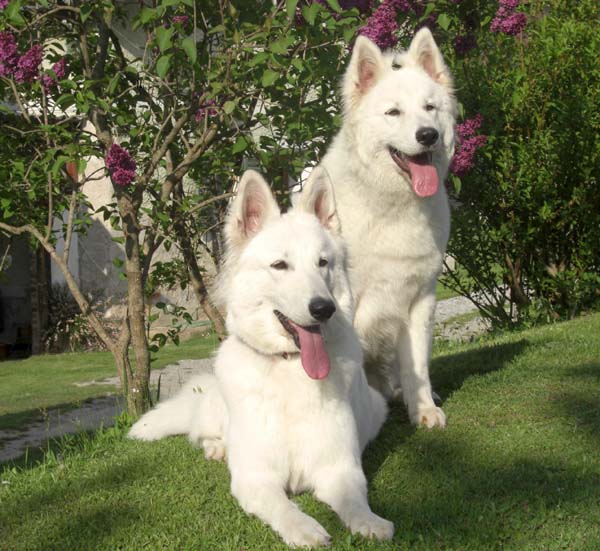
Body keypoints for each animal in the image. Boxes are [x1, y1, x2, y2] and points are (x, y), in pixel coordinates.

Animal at [129, 168, 394, 548]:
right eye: (280, 265)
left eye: (323, 263)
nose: (324, 308)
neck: (289, 365)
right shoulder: (255, 480)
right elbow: (284, 507)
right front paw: (305, 528)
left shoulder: (340, 469)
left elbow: (354, 500)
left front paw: (370, 522)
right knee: (201, 432)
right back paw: (217, 448)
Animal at [318, 28, 457, 428]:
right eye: (393, 112)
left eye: (430, 108)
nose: (428, 135)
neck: (391, 205)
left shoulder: (421, 299)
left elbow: (417, 368)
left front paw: (424, 410)